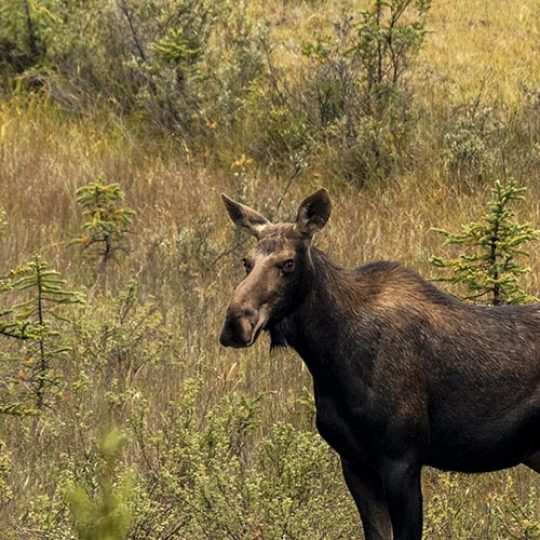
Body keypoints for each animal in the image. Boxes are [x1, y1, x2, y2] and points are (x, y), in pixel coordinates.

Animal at [217, 188, 536, 536]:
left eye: (288, 263)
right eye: (246, 261)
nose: (236, 323)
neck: (327, 358)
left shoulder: (402, 459)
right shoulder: (354, 462)